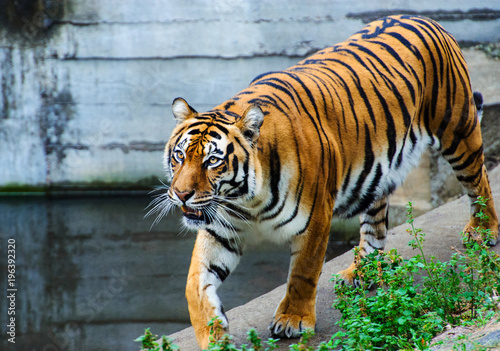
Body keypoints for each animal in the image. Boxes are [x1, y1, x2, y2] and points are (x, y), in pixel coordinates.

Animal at [149, 14, 500, 350]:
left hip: (458, 130)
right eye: (179, 156)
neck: (245, 200)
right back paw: (360, 272)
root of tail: (426, 19)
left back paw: (483, 231)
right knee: (375, 226)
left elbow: (303, 272)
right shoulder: (219, 228)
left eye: (212, 160)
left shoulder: (315, 218)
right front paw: (214, 335)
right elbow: (195, 285)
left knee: (479, 180)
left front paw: (293, 320)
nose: (181, 194)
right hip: (377, 171)